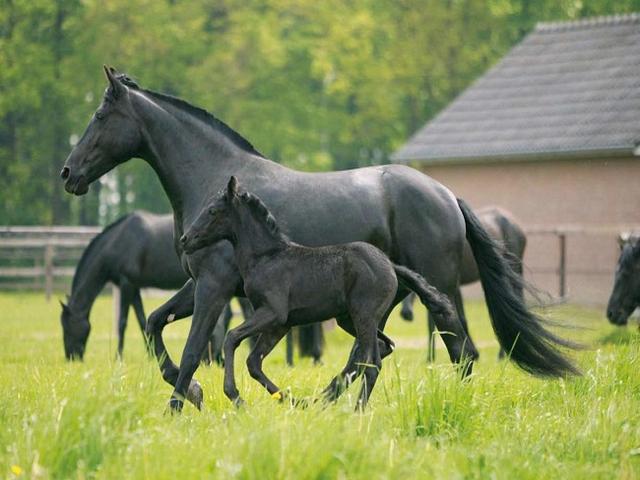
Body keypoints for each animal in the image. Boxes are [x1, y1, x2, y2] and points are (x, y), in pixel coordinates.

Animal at [60, 211, 320, 364]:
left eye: (67, 326)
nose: (72, 357)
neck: (119, 240)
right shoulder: (134, 287)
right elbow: (142, 319)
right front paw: (150, 354)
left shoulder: (127, 283)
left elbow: (123, 322)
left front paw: (119, 357)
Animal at [181, 176, 455, 408]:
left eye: (212, 211)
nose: (185, 239)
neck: (266, 257)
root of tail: (390, 265)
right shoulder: (281, 324)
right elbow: (253, 362)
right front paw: (292, 400)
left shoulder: (273, 313)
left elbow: (232, 338)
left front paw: (235, 395)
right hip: (350, 320)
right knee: (382, 347)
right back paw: (326, 398)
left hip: (363, 316)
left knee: (372, 362)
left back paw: (357, 409)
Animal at [400, 207, 526, 360]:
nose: (406, 314)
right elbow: (433, 322)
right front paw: (431, 357)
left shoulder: (454, 286)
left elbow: (460, 318)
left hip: (514, 271)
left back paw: (503, 355)